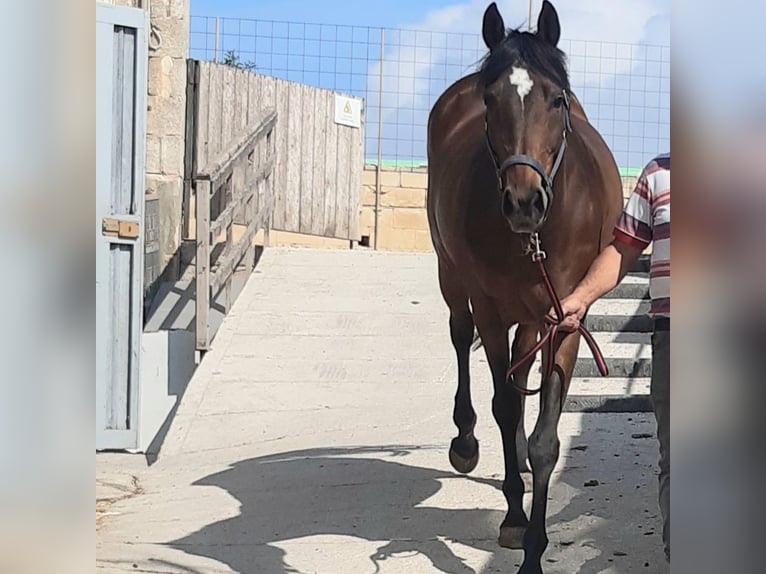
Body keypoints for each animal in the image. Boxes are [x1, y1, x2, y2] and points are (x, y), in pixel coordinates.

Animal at [426, 2, 624, 572]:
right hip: (452, 276)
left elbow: (543, 439)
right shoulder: (491, 309)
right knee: (461, 339)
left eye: (557, 99)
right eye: (490, 101)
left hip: (535, 317)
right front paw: (516, 519)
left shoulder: (567, 318)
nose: (523, 202)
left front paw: (534, 547)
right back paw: (466, 442)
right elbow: (506, 408)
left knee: (518, 369)